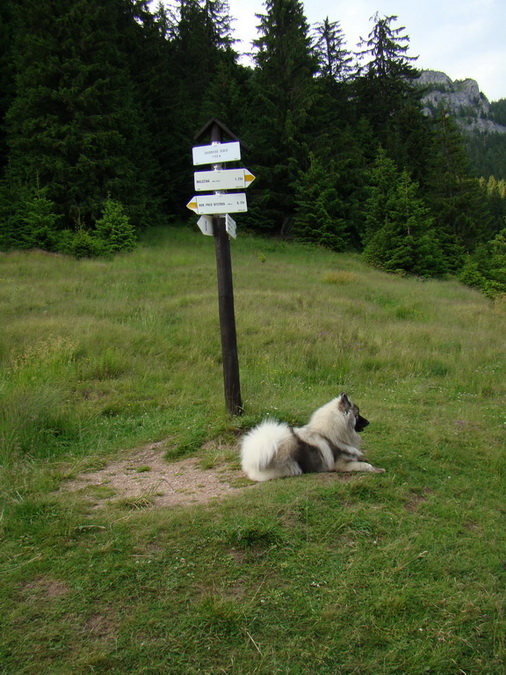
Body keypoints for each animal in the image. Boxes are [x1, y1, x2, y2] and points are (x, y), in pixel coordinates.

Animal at [239, 394, 386, 484]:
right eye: (357, 415)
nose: (368, 422)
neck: (329, 434)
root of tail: (252, 454)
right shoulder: (341, 465)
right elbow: (365, 465)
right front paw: (378, 469)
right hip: (290, 465)